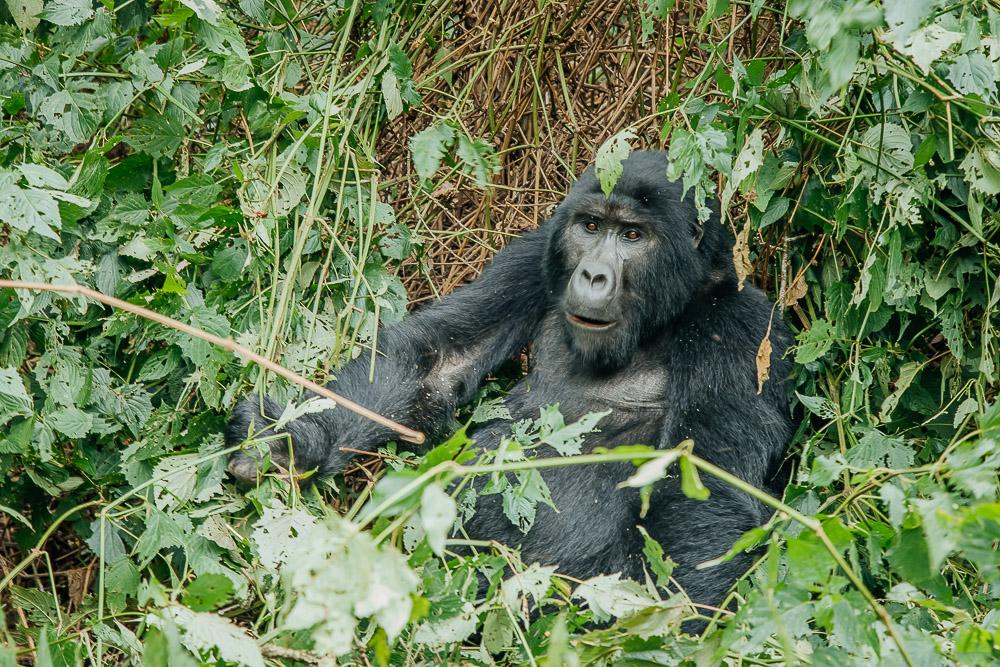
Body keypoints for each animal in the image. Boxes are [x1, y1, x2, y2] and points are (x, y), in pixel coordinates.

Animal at [225, 150, 788, 612]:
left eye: (633, 236)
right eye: (589, 226)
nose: (593, 276)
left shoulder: (741, 328)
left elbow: (704, 487)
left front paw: (669, 630)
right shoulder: (536, 256)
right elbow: (434, 359)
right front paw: (288, 442)